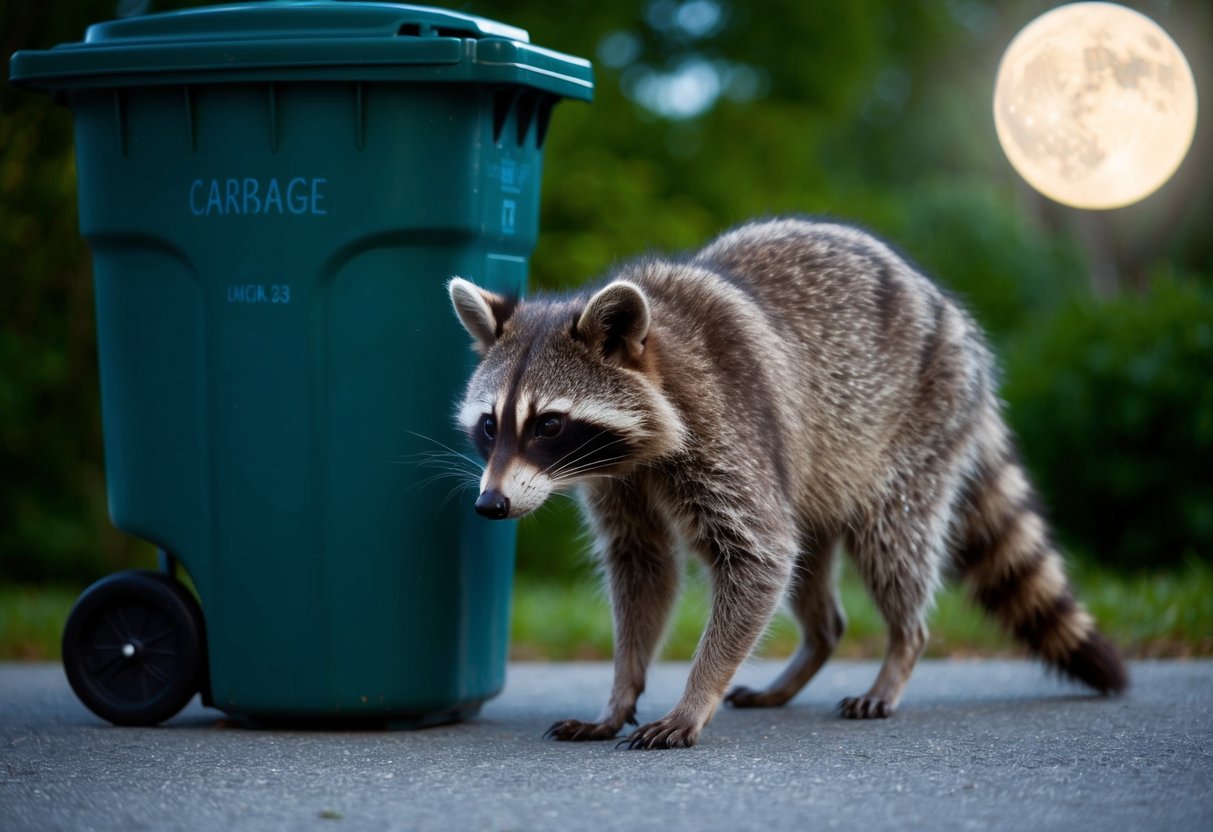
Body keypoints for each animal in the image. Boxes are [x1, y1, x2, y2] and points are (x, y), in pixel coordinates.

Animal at [447, 217, 1127, 750]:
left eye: (549, 424)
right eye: (490, 425)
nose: (490, 504)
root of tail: (955, 319)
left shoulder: (727, 427)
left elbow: (761, 555)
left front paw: (697, 693)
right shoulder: (619, 482)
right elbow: (643, 568)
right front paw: (620, 693)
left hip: (918, 427)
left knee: (892, 544)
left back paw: (901, 651)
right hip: (820, 474)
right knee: (812, 571)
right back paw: (814, 649)